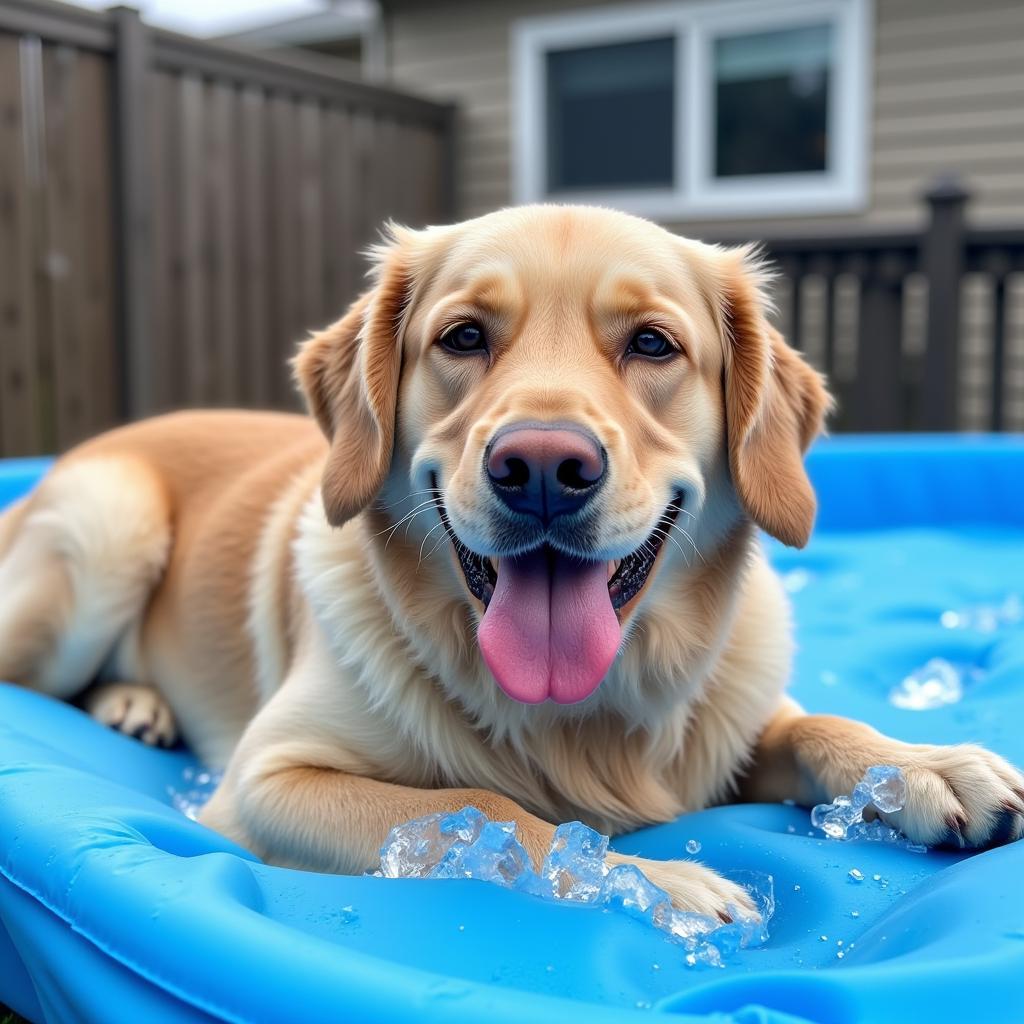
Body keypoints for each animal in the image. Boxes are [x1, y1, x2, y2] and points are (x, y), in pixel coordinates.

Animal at [0, 207, 1019, 921]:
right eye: (463, 337)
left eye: (653, 343)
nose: (541, 467)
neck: (584, 714)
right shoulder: (266, 783)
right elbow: (484, 806)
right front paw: (659, 881)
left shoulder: (734, 724)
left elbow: (816, 726)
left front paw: (929, 768)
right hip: (107, 529)